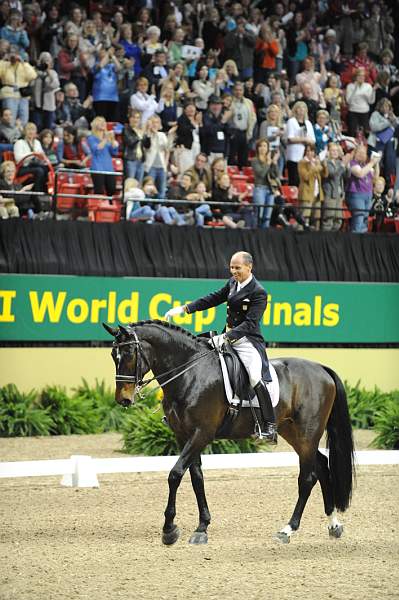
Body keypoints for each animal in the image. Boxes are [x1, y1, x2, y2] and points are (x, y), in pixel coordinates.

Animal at [104, 322, 356, 548]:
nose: (123, 399)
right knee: (322, 466)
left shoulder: (202, 434)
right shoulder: (184, 436)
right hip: (293, 432)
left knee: (307, 478)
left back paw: (287, 530)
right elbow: (196, 478)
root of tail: (321, 368)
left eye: (129, 354)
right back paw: (333, 525)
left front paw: (169, 530)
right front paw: (201, 528)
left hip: (307, 434)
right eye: (113, 355)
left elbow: (175, 474)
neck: (191, 374)